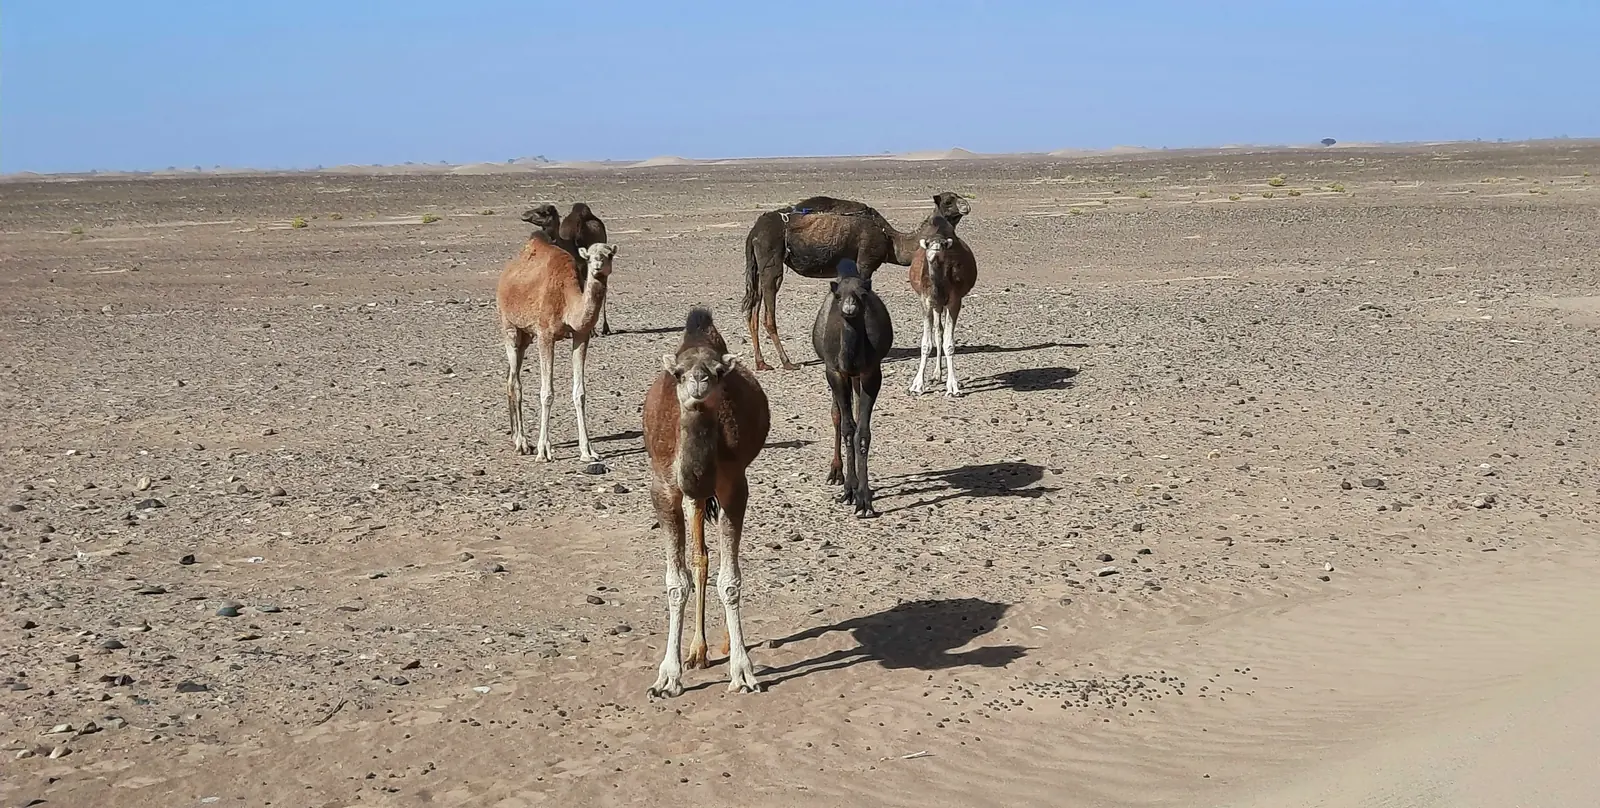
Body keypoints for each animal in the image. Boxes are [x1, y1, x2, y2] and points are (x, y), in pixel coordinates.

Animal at [496, 232, 618, 461]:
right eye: (589, 257)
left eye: (609, 255)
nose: (598, 266)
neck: (568, 301)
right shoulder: (545, 334)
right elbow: (547, 393)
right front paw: (543, 450)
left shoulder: (581, 334)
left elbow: (580, 393)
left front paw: (588, 451)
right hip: (509, 326)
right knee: (515, 383)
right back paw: (522, 443)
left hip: (526, 336)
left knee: (510, 376)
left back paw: (516, 437)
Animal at [644, 307, 771, 696]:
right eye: (679, 373)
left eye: (717, 372)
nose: (698, 381)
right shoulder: (664, 489)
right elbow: (676, 582)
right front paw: (667, 677)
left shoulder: (734, 486)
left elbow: (730, 580)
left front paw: (742, 672)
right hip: (692, 498)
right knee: (699, 558)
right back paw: (696, 651)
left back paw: (723, 645)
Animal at [741, 192, 970, 371]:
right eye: (949, 200)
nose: (967, 206)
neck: (891, 240)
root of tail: (754, 232)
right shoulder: (865, 263)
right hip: (771, 259)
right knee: (768, 314)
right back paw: (788, 362)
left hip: (758, 266)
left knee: (753, 308)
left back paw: (761, 363)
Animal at [811, 260, 893, 518]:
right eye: (839, 295)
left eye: (863, 294)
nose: (849, 308)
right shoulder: (835, 372)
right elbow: (848, 428)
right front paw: (849, 490)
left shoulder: (871, 372)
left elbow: (862, 432)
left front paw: (864, 499)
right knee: (837, 415)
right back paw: (837, 473)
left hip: (857, 378)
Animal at [907, 214, 978, 397]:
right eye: (928, 244)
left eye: (944, 245)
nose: (935, 250)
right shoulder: (926, 301)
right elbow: (926, 343)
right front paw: (917, 385)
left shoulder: (955, 301)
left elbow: (949, 344)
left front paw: (953, 387)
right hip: (936, 306)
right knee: (938, 332)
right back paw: (936, 374)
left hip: (944, 305)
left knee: (941, 332)